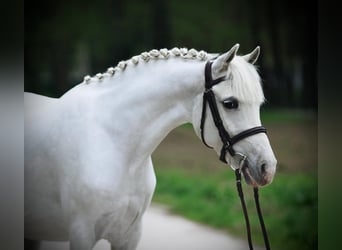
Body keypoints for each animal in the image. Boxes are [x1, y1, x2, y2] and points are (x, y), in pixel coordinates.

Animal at [24, 45, 276, 250]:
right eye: (230, 103)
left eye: (259, 104)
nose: (268, 168)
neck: (114, 143)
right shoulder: (82, 233)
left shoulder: (129, 235)